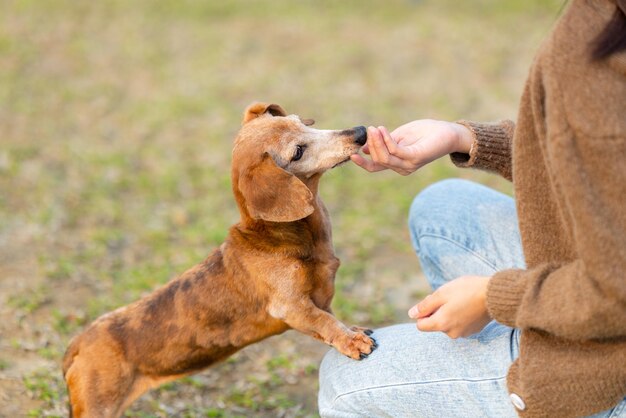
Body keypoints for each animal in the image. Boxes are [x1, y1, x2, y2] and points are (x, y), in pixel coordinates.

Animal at [62, 103, 376, 416]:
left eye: (301, 122)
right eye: (297, 151)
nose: (361, 132)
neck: (281, 235)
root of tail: (78, 344)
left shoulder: (319, 296)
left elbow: (330, 316)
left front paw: (353, 330)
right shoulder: (292, 307)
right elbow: (324, 322)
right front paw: (351, 340)